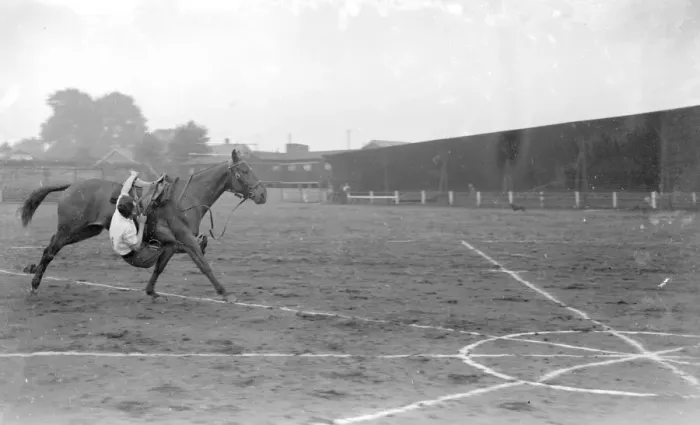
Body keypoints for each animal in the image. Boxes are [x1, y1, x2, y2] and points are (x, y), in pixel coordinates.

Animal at [17, 149, 266, 302]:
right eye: (244, 171)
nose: (263, 194)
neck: (186, 199)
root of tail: (71, 185)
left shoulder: (172, 244)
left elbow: (159, 267)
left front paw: (151, 292)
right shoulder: (186, 239)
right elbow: (204, 265)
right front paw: (225, 293)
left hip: (85, 230)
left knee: (50, 247)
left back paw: (32, 273)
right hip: (69, 229)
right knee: (50, 250)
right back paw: (34, 284)